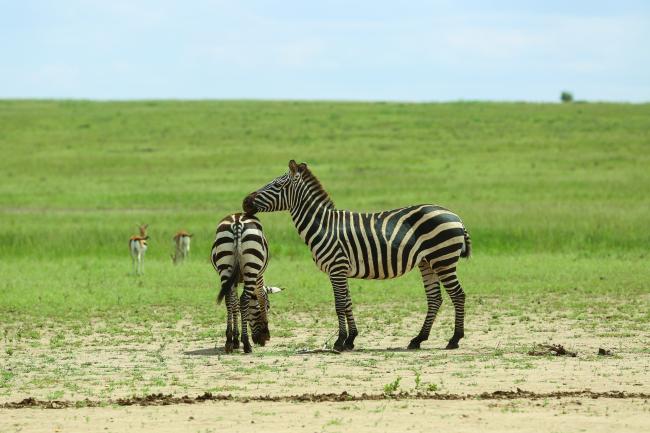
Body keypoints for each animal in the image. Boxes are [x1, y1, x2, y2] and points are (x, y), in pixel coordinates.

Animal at [208, 212, 278, 352]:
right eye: (268, 307)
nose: (264, 340)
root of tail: (237, 221)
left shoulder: (233, 281)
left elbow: (234, 304)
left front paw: (234, 339)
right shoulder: (259, 277)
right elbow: (261, 297)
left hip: (225, 267)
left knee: (228, 299)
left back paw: (228, 341)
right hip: (252, 267)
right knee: (244, 299)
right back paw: (246, 343)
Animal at [243, 159, 470, 352]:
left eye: (276, 185)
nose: (245, 202)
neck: (324, 225)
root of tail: (456, 216)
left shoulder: (336, 267)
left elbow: (339, 304)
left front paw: (339, 341)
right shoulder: (342, 269)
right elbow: (348, 303)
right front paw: (351, 340)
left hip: (443, 260)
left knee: (458, 295)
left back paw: (454, 339)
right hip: (427, 262)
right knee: (435, 299)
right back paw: (418, 339)